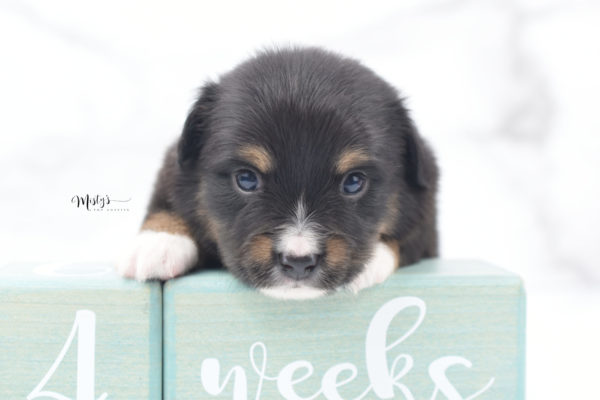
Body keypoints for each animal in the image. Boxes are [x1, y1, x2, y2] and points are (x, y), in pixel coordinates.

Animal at [117, 47, 438, 298]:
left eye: (354, 182)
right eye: (247, 179)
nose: (298, 262)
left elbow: (409, 237)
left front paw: (372, 263)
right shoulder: (173, 167)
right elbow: (167, 206)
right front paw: (159, 243)